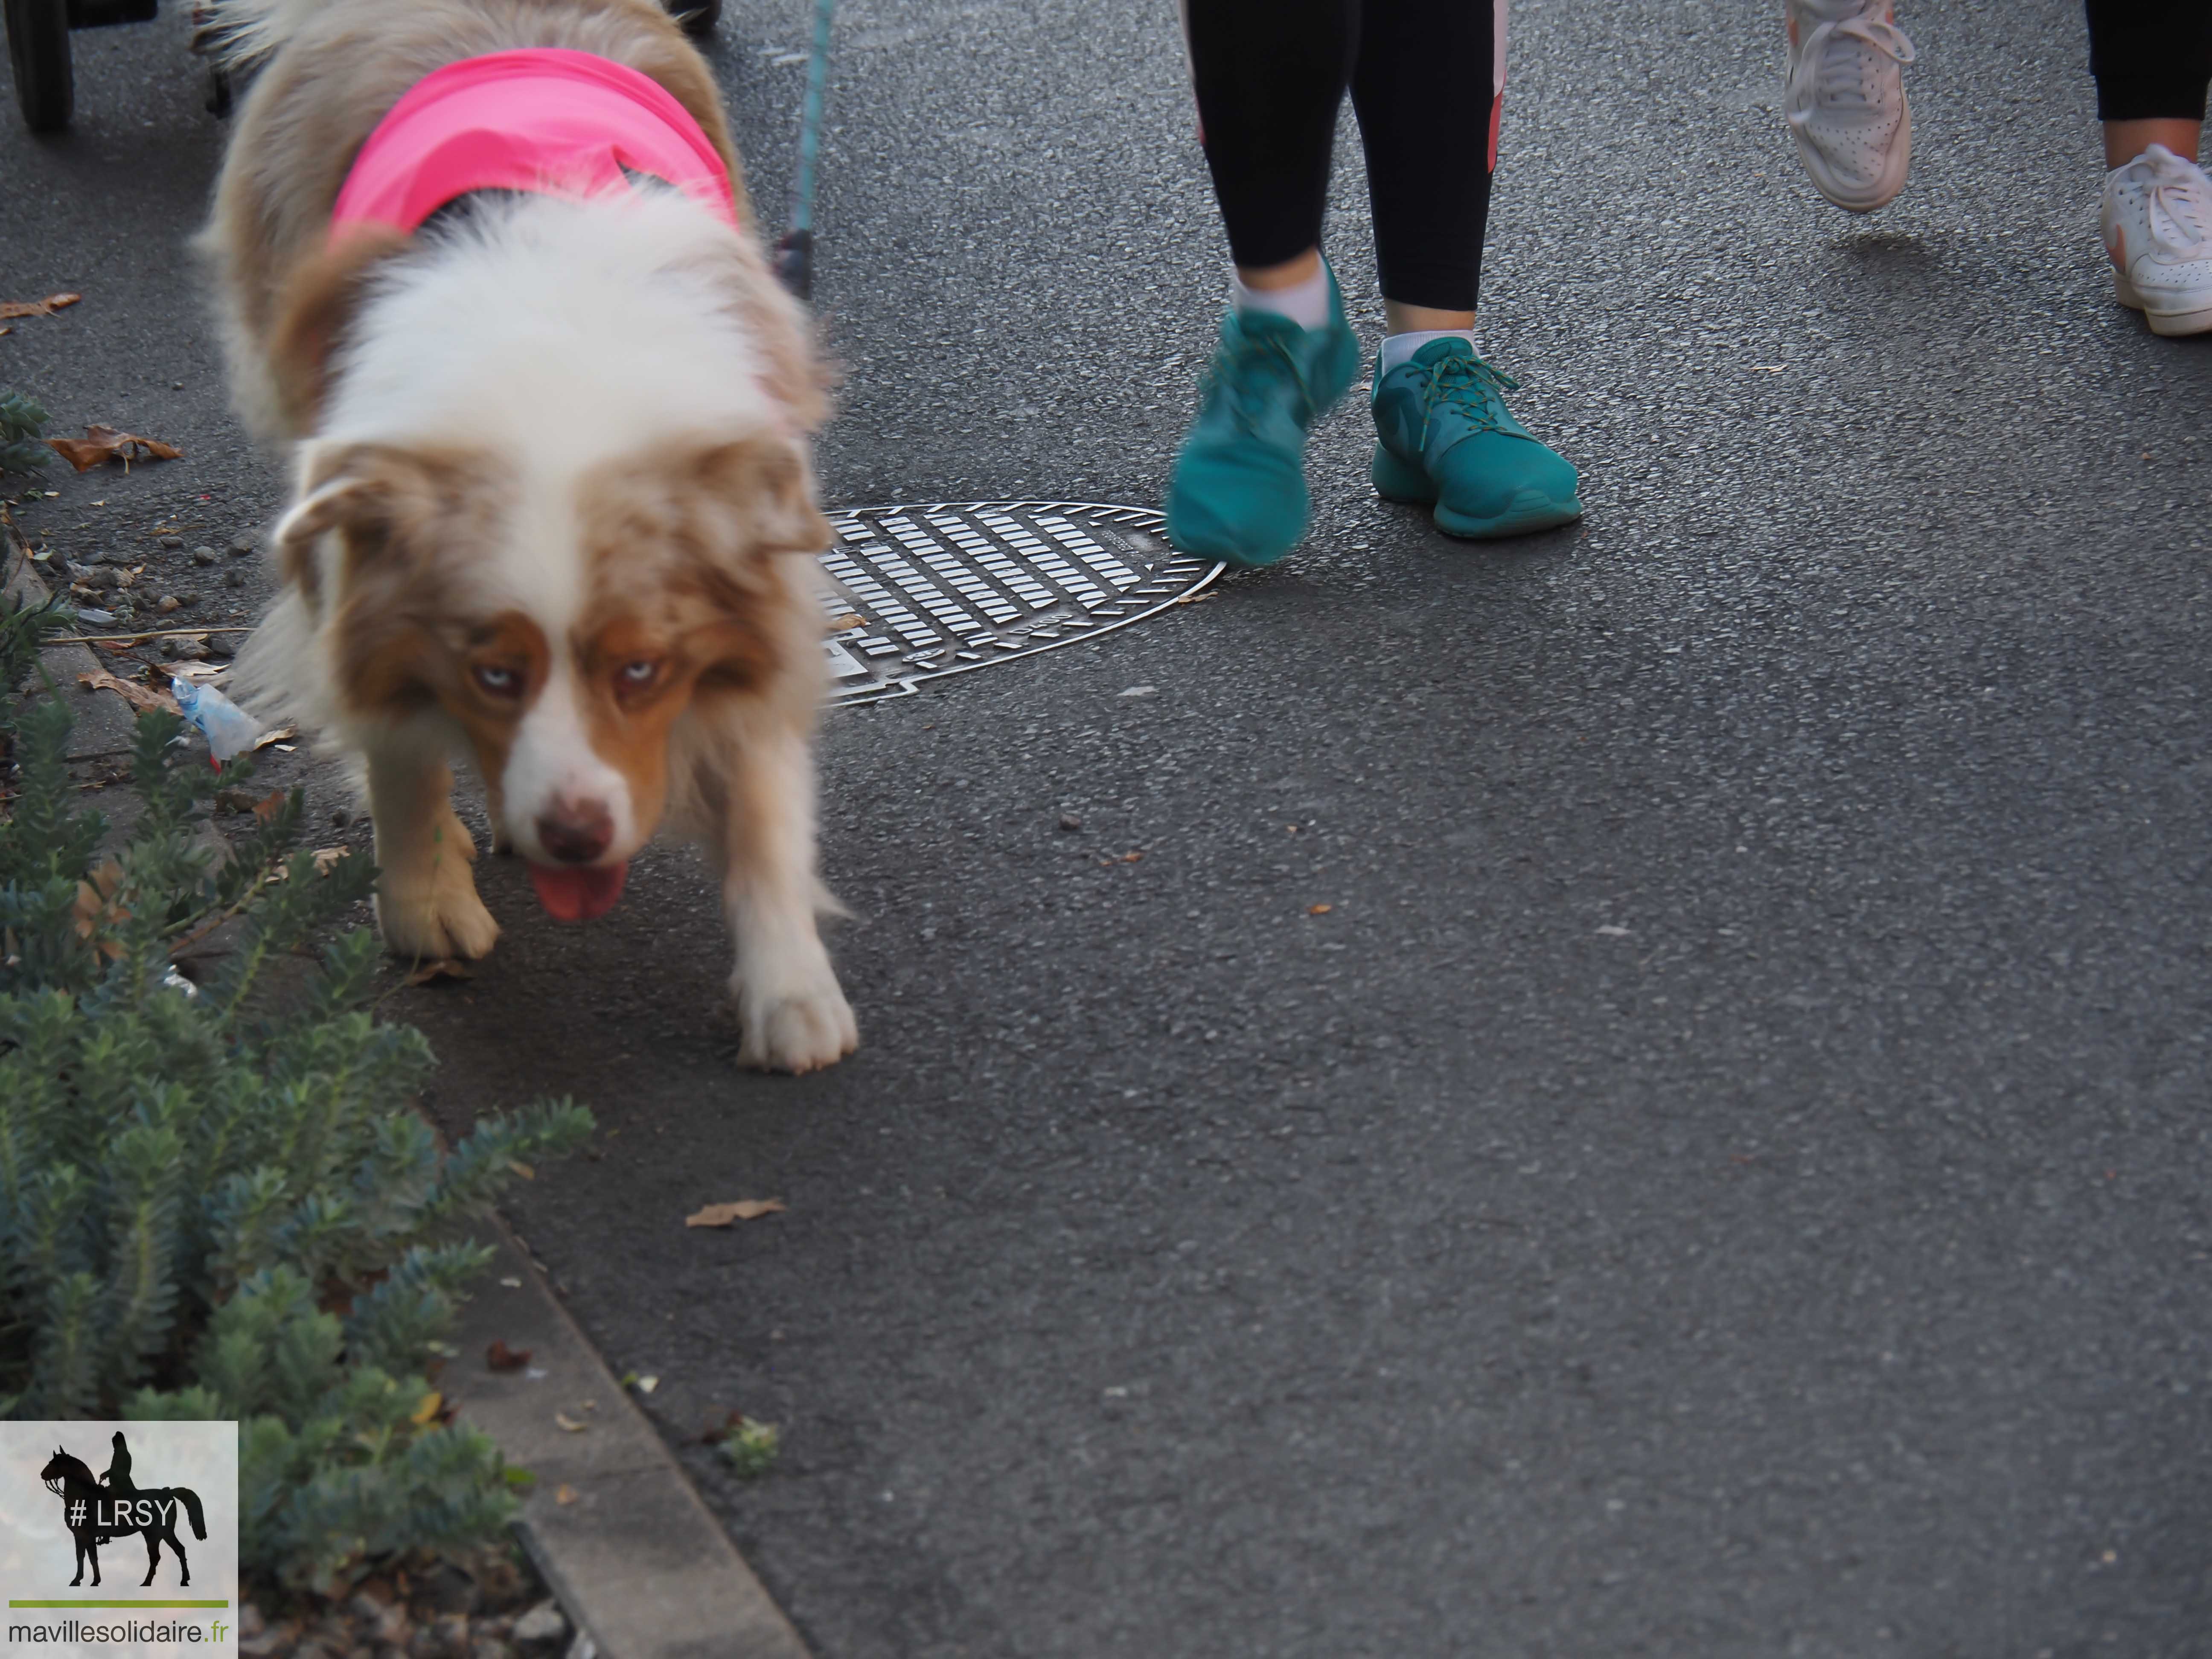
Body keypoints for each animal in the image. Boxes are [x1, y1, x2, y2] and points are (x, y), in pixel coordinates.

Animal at [199, 0, 854, 1071]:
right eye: (493, 674)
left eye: (642, 671)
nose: (577, 837)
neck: (560, 386)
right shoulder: (350, 558)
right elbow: (400, 752)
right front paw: (423, 898)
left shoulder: (766, 574)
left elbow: (763, 796)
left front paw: (790, 990)